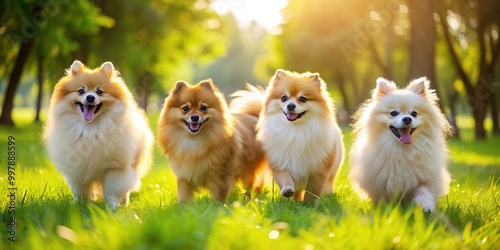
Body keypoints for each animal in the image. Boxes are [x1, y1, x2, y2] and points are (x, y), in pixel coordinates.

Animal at [43, 60, 152, 209]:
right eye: (81, 91)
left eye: (99, 91)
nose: (90, 97)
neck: (90, 129)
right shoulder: (78, 169)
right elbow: (80, 190)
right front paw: (80, 204)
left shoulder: (115, 168)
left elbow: (112, 189)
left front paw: (112, 207)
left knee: (127, 187)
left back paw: (124, 202)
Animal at [258, 69, 344, 202]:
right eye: (284, 98)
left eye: (302, 99)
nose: (290, 106)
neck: (295, 130)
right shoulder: (280, 162)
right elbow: (285, 177)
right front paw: (288, 190)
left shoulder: (319, 168)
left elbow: (313, 189)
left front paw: (308, 203)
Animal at [348, 77, 454, 211]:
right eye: (393, 113)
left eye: (414, 113)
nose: (407, 119)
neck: (402, 150)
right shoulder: (380, 181)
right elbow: (382, 198)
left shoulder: (426, 177)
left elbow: (424, 190)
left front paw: (426, 206)